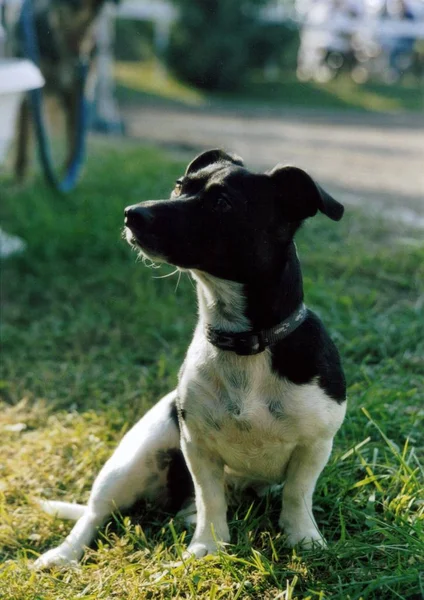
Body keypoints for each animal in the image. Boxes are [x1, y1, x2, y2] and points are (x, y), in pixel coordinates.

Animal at [3, 0, 110, 179]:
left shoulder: (77, 92)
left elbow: (73, 139)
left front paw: (71, 173)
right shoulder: (33, 91)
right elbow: (26, 139)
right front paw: (21, 179)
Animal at [34, 149, 348, 568]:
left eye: (222, 203)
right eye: (180, 186)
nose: (132, 213)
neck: (244, 343)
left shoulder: (314, 445)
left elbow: (297, 494)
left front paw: (303, 538)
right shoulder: (198, 448)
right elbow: (210, 499)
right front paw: (207, 546)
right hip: (130, 460)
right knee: (94, 513)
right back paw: (64, 554)